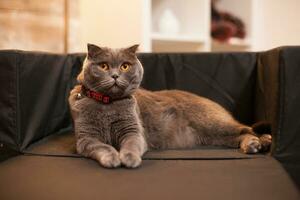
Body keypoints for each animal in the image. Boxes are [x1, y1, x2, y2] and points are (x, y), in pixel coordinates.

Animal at [68, 43, 272, 169]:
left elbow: (132, 143)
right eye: (103, 66)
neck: (108, 105)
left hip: (214, 123)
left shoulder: (133, 130)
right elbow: (102, 147)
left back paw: (263, 141)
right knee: (240, 135)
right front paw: (112, 158)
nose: (116, 75)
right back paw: (253, 145)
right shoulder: (86, 139)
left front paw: (129, 158)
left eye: (125, 66)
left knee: (247, 129)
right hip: (213, 136)